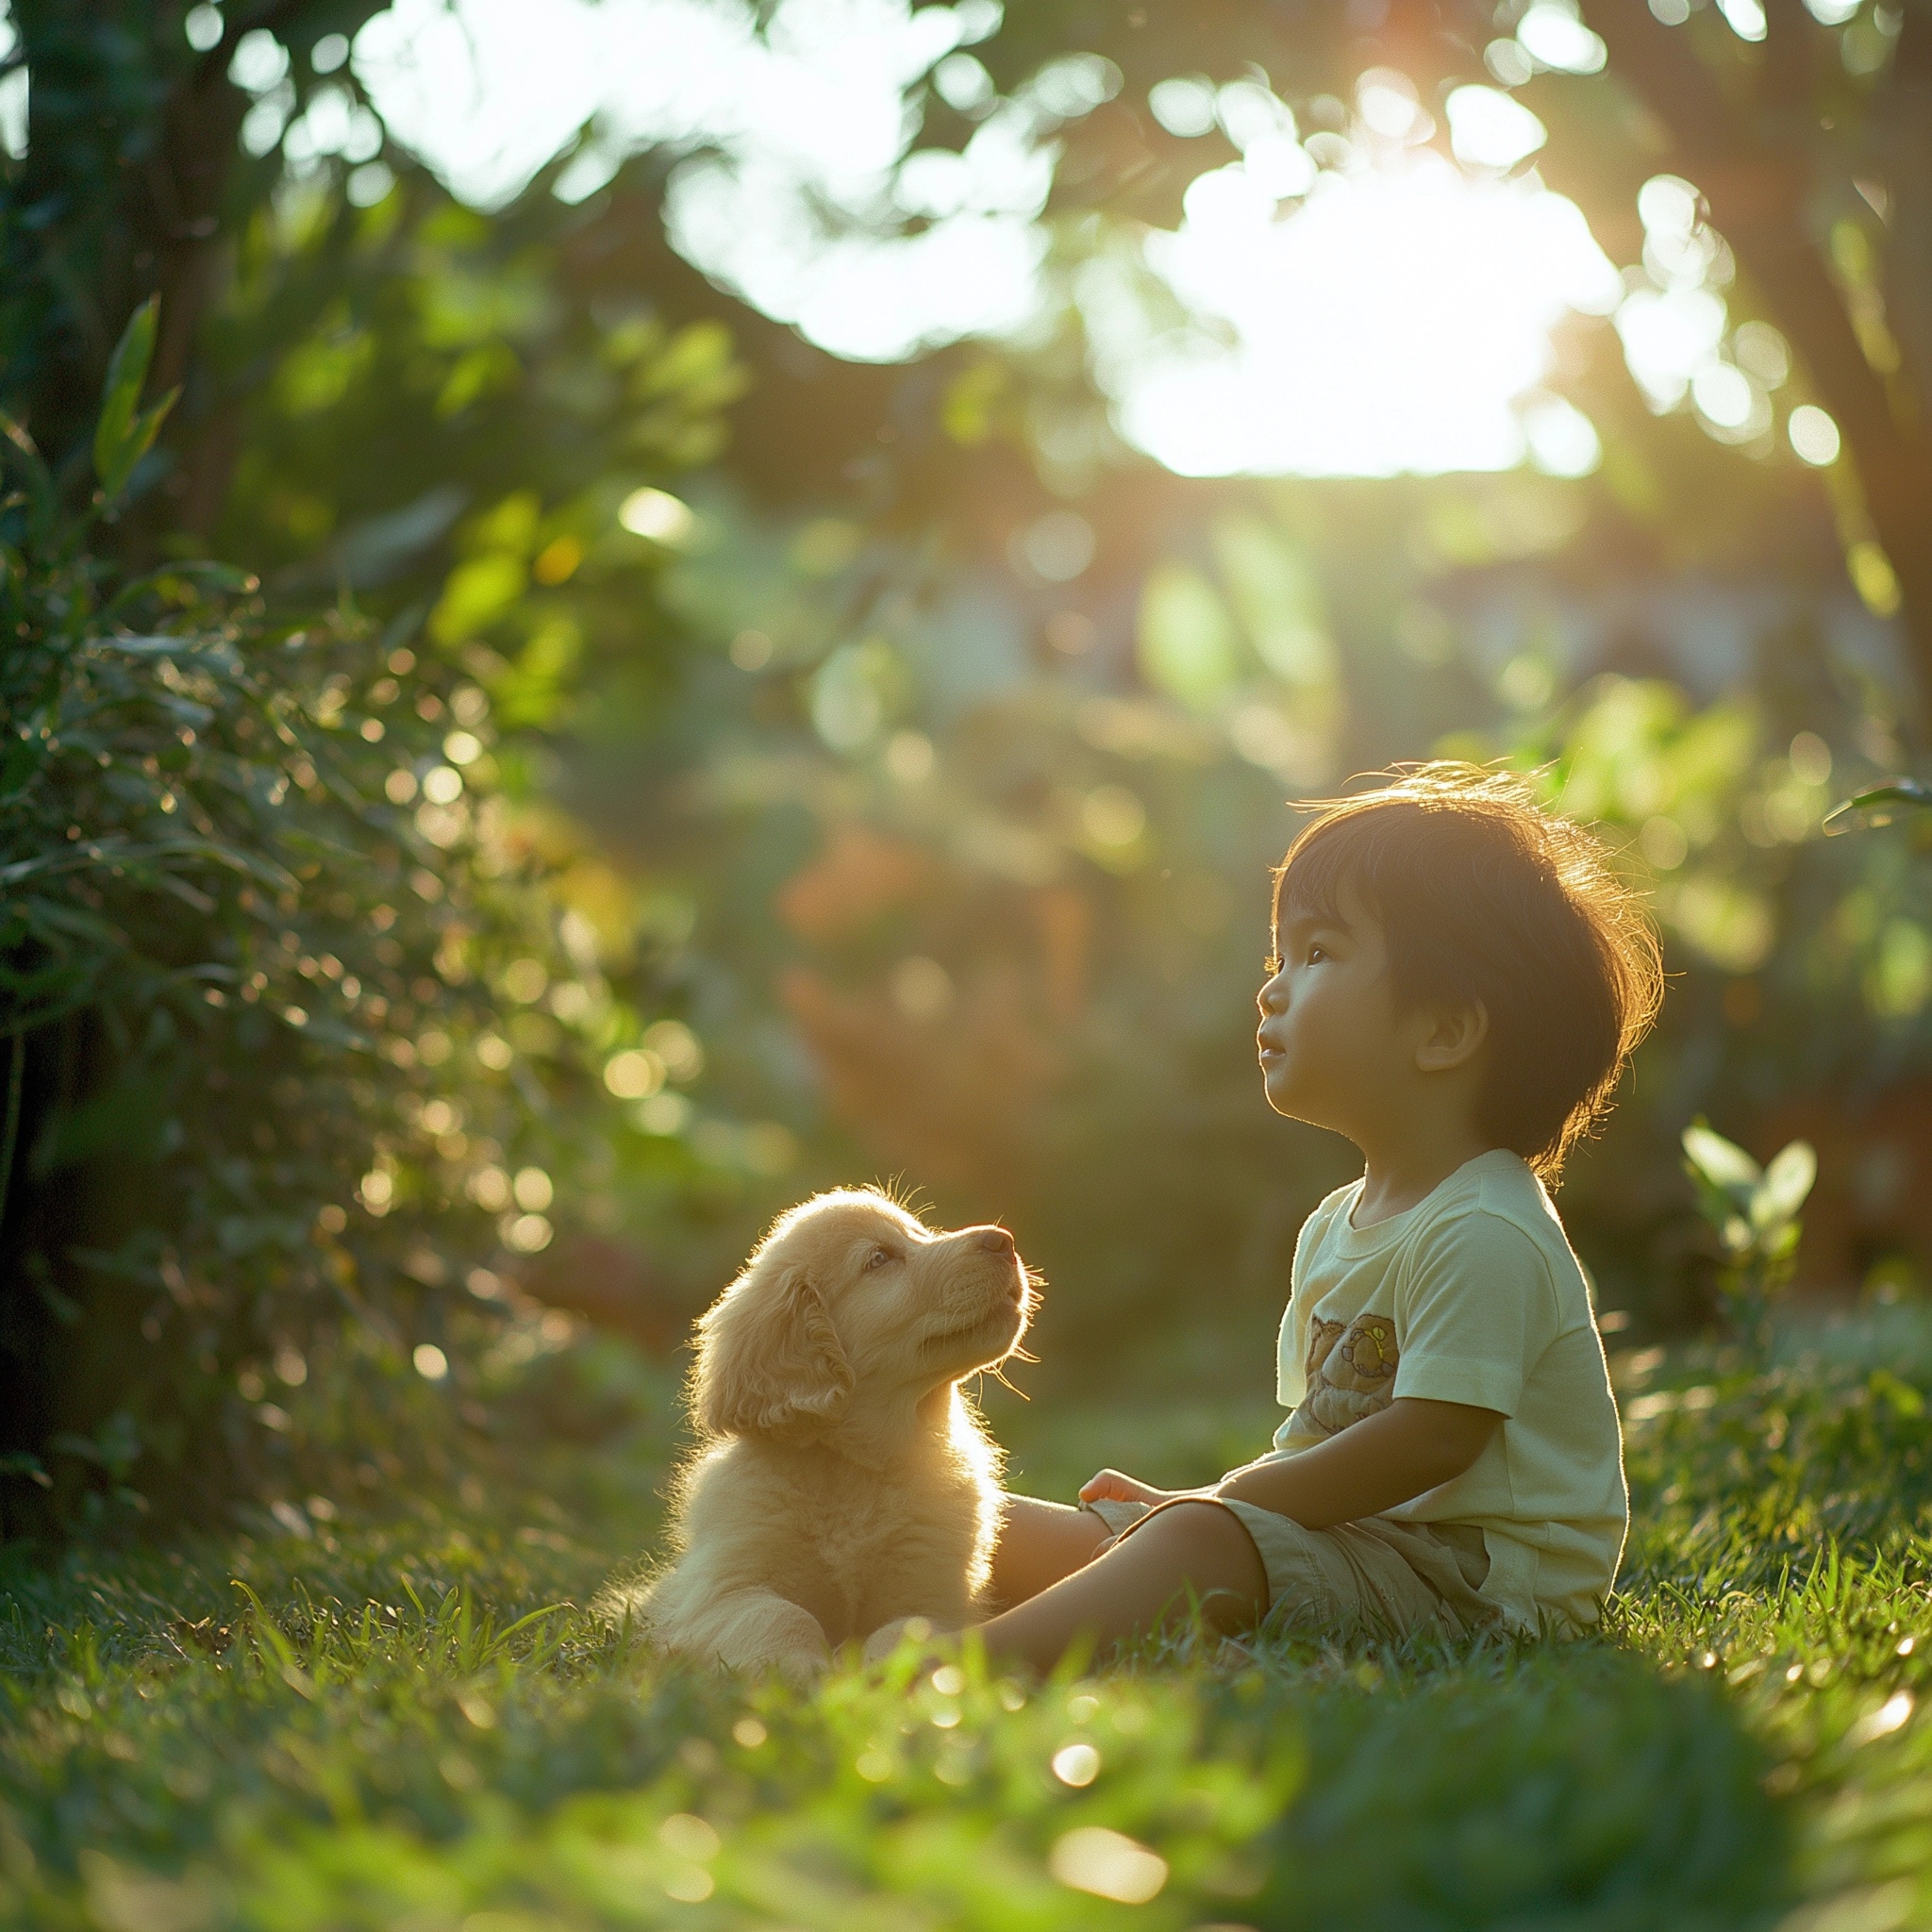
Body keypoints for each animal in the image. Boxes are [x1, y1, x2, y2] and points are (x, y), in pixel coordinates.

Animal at [625, 1182, 1035, 1684]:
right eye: (879, 1259)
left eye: (921, 1233)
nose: (1003, 1240)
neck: (859, 1467)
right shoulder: (718, 1591)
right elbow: (777, 1612)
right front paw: (796, 1672)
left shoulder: (941, 1600)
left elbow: (907, 1628)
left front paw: (875, 1677)